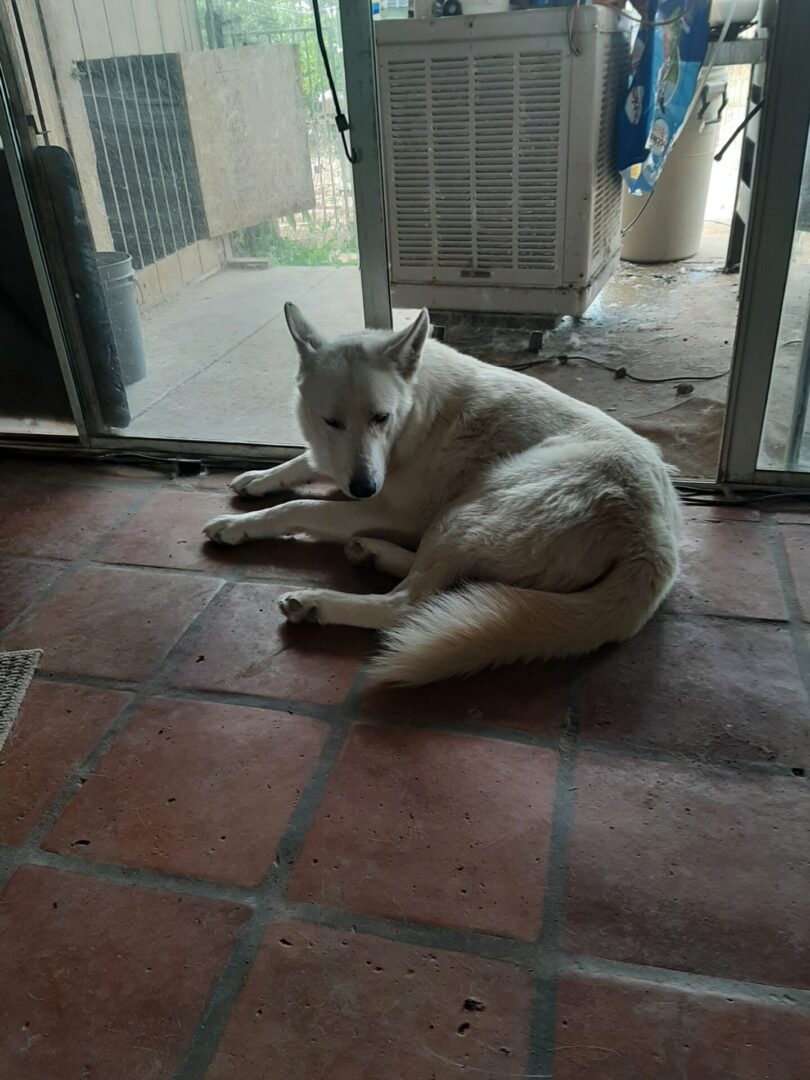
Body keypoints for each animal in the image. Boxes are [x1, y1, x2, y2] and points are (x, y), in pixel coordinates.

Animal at [201, 304, 678, 682]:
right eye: (331, 422)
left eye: (381, 417)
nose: (363, 487)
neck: (413, 413)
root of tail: (654, 543)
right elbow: (303, 461)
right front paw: (258, 478)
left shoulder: (389, 509)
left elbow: (298, 506)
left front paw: (239, 525)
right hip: (459, 520)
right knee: (439, 579)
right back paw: (371, 551)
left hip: (466, 510)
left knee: (407, 603)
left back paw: (318, 602)